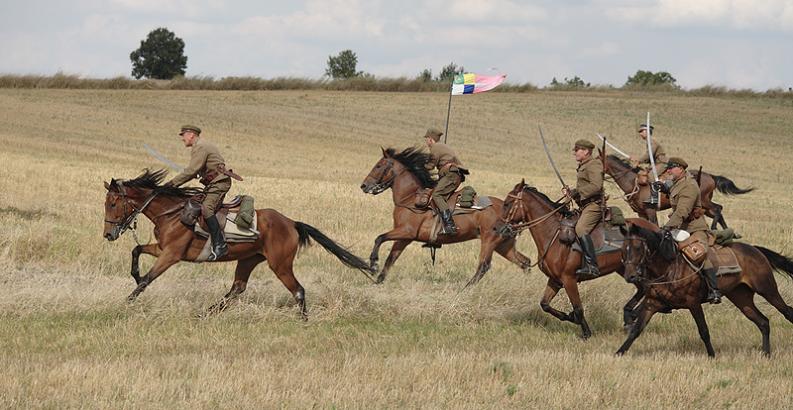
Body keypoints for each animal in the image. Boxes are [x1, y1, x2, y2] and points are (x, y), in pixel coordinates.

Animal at [103, 168, 374, 318]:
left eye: (113, 203)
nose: (108, 235)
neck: (171, 212)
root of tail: (291, 223)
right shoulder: (162, 249)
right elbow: (136, 250)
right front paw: (135, 275)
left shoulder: (171, 254)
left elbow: (148, 278)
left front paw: (127, 302)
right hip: (248, 259)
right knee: (236, 289)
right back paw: (206, 313)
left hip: (280, 264)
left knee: (297, 289)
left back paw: (304, 321)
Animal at [358, 147, 532, 286]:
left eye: (378, 165)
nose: (364, 186)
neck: (410, 198)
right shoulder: (404, 238)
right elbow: (391, 258)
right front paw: (378, 280)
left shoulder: (406, 232)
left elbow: (380, 238)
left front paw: (373, 264)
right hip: (504, 245)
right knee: (525, 262)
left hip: (489, 240)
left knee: (484, 266)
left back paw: (465, 289)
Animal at [498, 181, 648, 338]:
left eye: (507, 203)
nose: (501, 230)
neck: (554, 235)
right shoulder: (555, 280)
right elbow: (545, 304)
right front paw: (568, 317)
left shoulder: (569, 279)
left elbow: (578, 309)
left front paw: (586, 332)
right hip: (626, 270)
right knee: (643, 289)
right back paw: (630, 316)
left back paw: (632, 316)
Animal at [604, 155, 752, 229]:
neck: (634, 182)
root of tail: (710, 176)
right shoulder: (641, 213)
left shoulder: (650, 210)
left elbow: (654, 225)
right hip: (704, 206)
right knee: (718, 212)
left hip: (704, 201)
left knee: (718, 209)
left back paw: (715, 228)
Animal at [620, 219, 792, 358]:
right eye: (623, 248)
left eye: (637, 247)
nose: (630, 276)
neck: (669, 266)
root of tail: (755, 250)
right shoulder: (652, 303)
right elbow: (636, 330)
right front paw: (619, 353)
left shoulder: (693, 304)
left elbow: (703, 330)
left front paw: (712, 356)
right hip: (741, 298)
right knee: (763, 322)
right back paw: (766, 354)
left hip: (768, 290)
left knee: (787, 312)